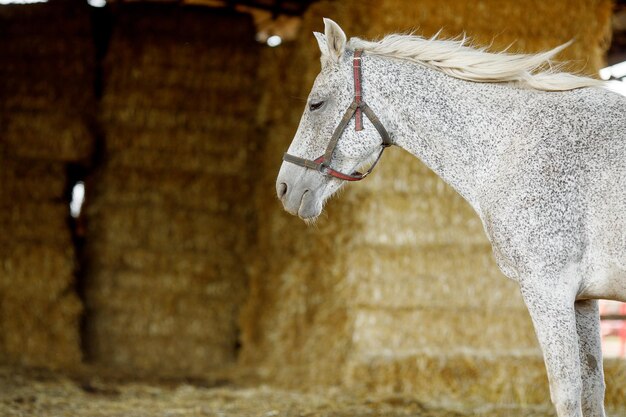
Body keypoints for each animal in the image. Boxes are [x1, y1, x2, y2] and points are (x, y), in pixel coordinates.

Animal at [278, 17, 624, 416]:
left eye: (316, 104)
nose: (284, 187)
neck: (512, 144)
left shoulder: (548, 288)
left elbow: (566, 391)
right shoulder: (582, 299)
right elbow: (593, 389)